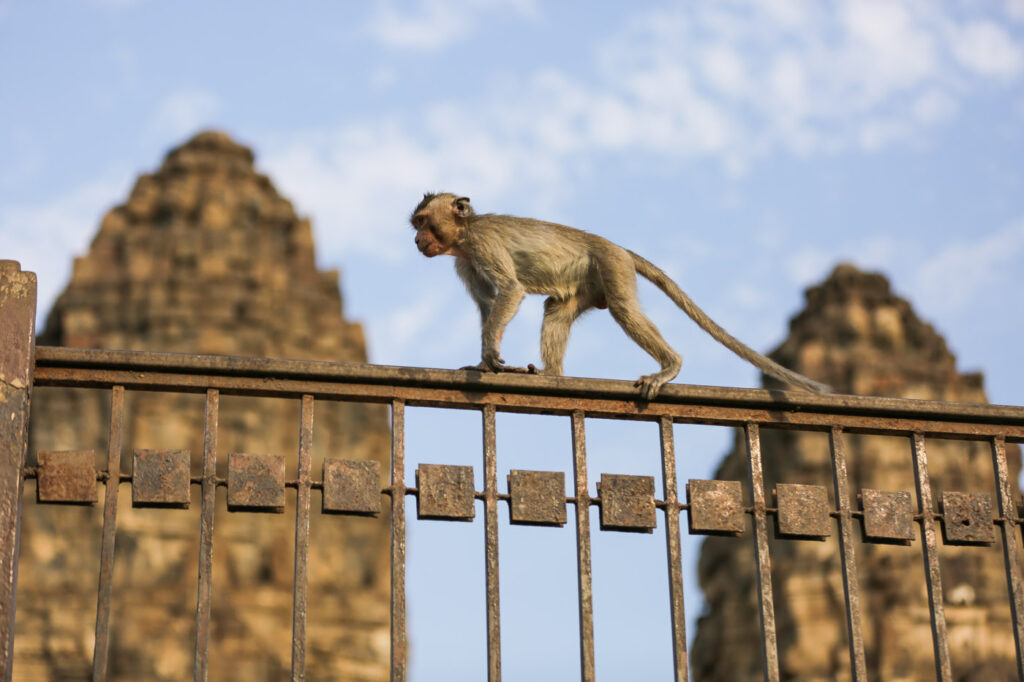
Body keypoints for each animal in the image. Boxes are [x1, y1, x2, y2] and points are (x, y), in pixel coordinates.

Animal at [409, 191, 831, 399]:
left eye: (423, 222)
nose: (416, 240)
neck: (463, 236)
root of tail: (620, 248)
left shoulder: (482, 245)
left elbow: (510, 290)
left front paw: (490, 353)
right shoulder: (465, 261)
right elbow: (487, 305)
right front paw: (484, 362)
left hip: (612, 266)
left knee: (625, 310)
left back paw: (670, 366)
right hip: (588, 285)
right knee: (556, 309)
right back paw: (552, 373)